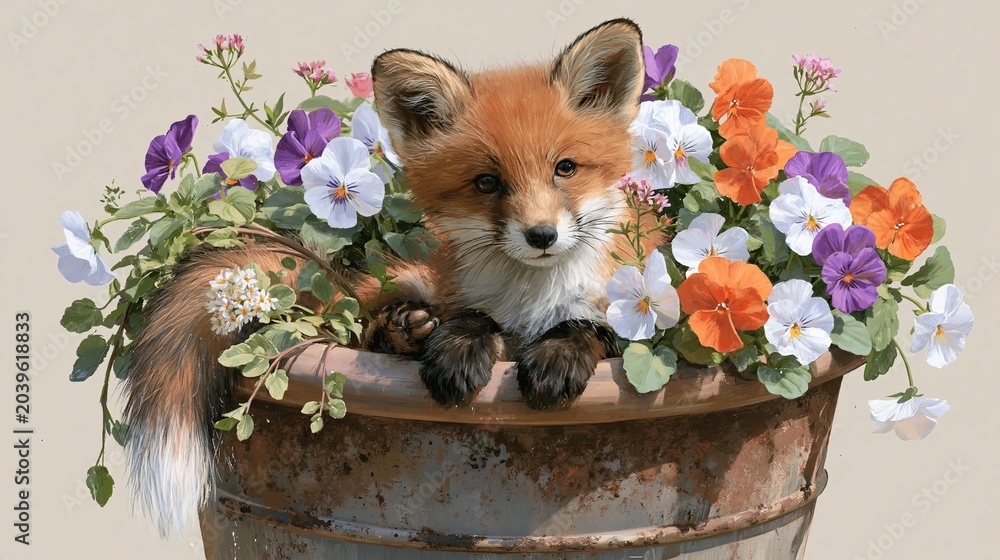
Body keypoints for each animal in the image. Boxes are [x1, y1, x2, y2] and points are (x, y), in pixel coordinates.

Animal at [123, 18, 661, 535]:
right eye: (487, 182)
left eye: (565, 168)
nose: (542, 235)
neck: (533, 298)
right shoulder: (468, 300)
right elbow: (475, 317)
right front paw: (459, 350)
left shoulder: (638, 321)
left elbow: (588, 327)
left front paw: (557, 356)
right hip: (403, 286)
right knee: (365, 325)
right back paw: (405, 330)